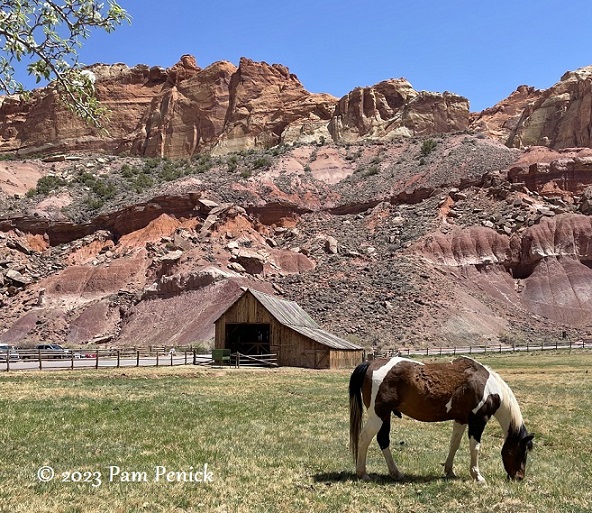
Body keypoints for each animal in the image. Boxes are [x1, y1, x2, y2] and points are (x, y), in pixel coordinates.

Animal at [350, 356, 536, 480]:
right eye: (522, 450)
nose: (519, 477)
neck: (488, 387)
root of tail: (371, 363)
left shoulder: (461, 420)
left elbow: (454, 444)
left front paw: (449, 471)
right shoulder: (478, 421)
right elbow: (475, 447)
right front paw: (477, 476)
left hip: (385, 415)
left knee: (383, 440)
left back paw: (396, 473)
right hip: (378, 416)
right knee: (364, 438)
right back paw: (362, 473)